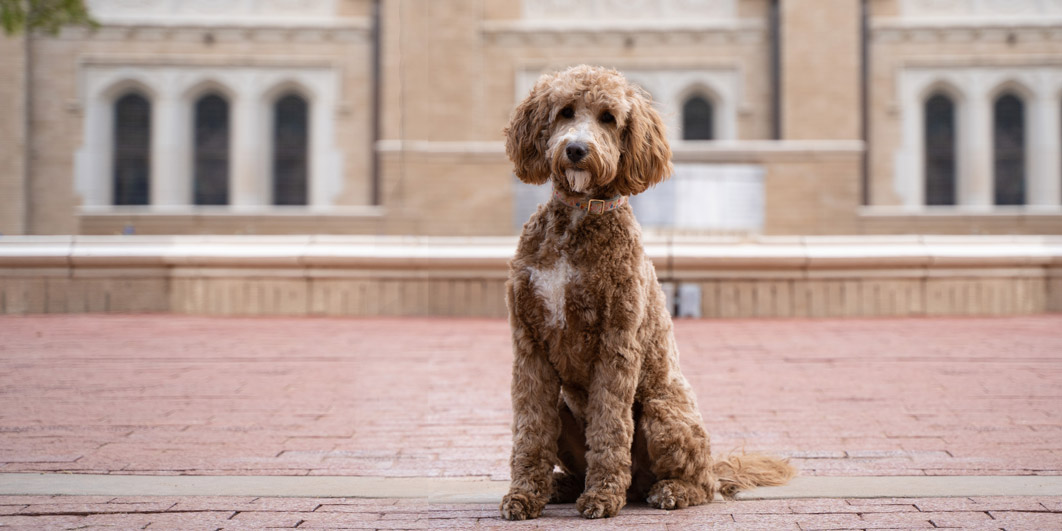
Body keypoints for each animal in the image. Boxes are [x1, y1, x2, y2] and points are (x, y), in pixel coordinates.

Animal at [501, 65, 794, 518]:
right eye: (565, 111)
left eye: (608, 117)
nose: (577, 149)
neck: (578, 219)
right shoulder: (529, 344)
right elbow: (530, 430)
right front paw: (524, 495)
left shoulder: (617, 343)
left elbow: (610, 426)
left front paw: (603, 496)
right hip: (565, 408)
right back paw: (561, 486)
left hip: (662, 412)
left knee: (701, 483)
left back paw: (669, 490)